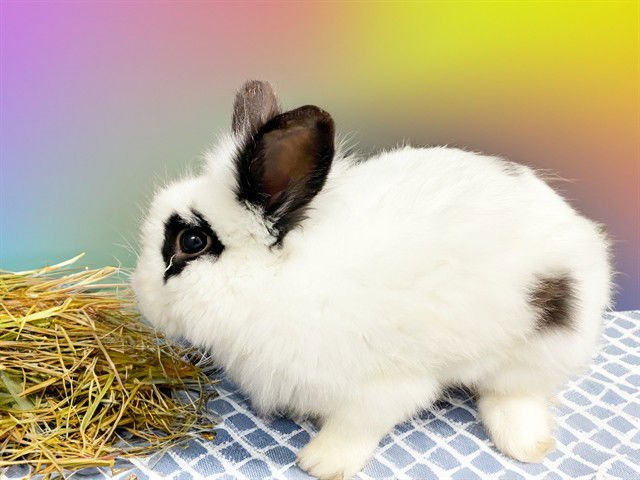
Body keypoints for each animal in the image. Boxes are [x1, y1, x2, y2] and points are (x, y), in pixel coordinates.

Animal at [132, 80, 612, 480]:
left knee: (516, 393)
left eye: (191, 241)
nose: (141, 298)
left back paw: (525, 445)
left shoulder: (383, 388)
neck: (274, 280)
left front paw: (321, 463)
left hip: (539, 346)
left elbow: (357, 426)